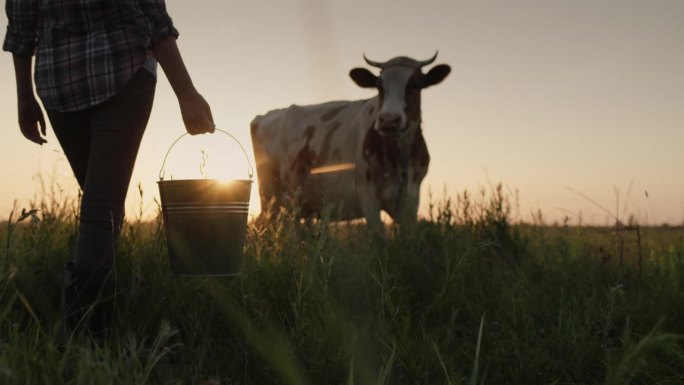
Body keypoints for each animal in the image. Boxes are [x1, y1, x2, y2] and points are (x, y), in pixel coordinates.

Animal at [248, 51, 452, 231]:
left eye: (415, 85)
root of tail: (264, 116)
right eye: (379, 87)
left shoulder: (410, 197)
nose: (388, 119)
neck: (400, 156)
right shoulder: (367, 194)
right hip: (270, 195)